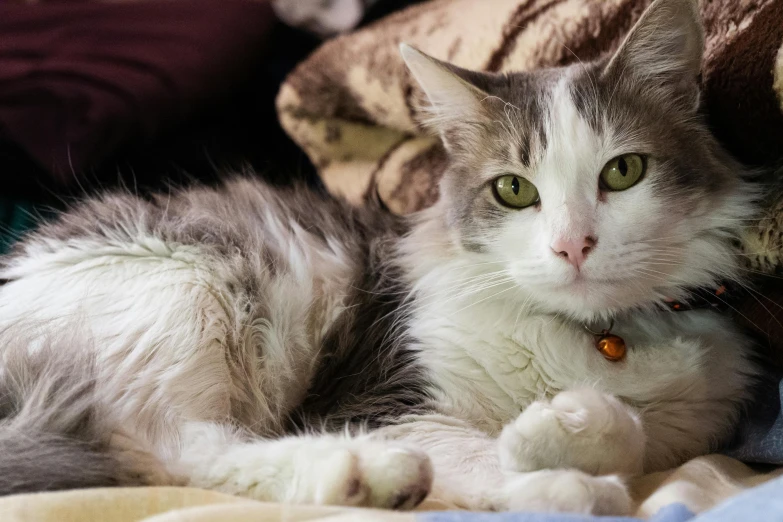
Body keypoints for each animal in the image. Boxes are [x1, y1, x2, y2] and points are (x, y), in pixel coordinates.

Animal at [0, 0, 764, 512]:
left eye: (623, 172)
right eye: (514, 190)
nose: (571, 244)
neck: (593, 339)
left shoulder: (690, 424)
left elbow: (631, 431)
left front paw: (560, 428)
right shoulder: (388, 398)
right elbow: (505, 458)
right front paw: (555, 463)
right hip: (183, 286)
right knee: (159, 449)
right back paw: (370, 473)